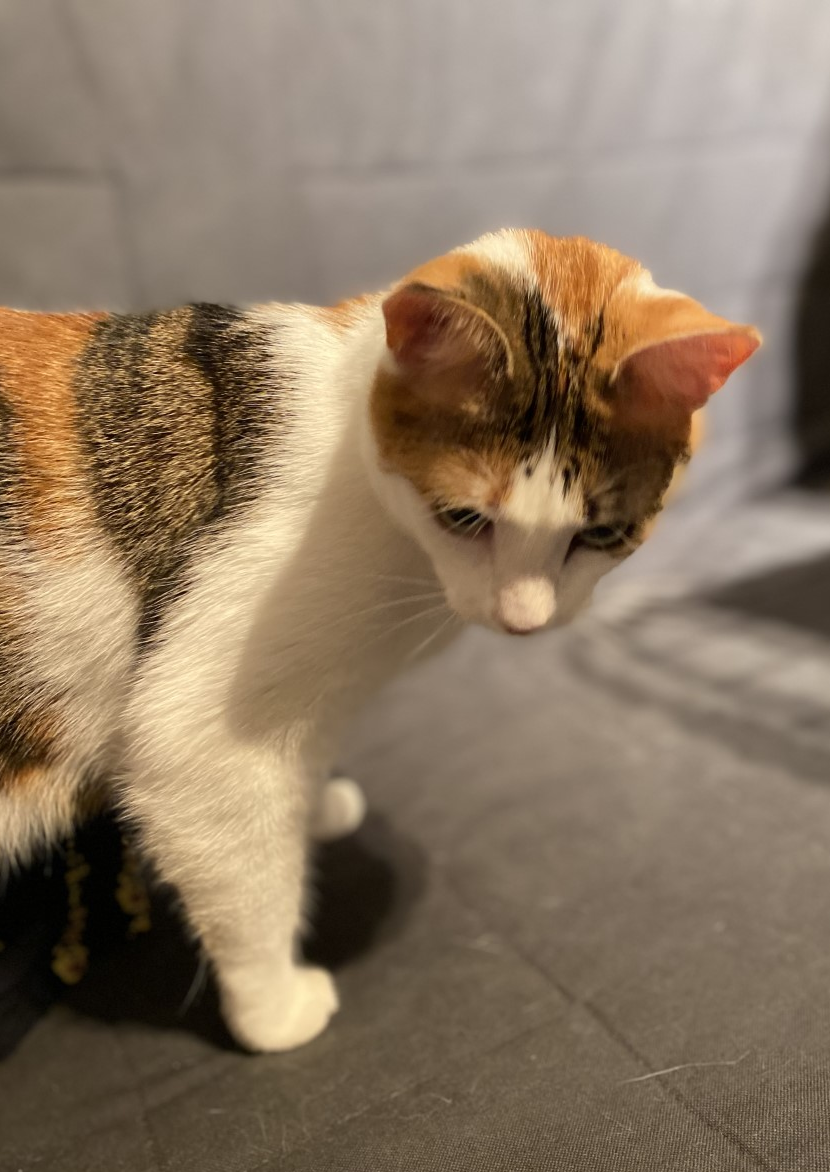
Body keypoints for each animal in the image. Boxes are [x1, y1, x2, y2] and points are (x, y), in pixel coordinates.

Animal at [0, 229, 759, 1051]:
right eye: (464, 519)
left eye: (599, 536)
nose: (523, 617)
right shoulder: (201, 736)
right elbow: (246, 869)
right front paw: (274, 1009)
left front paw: (314, 809)